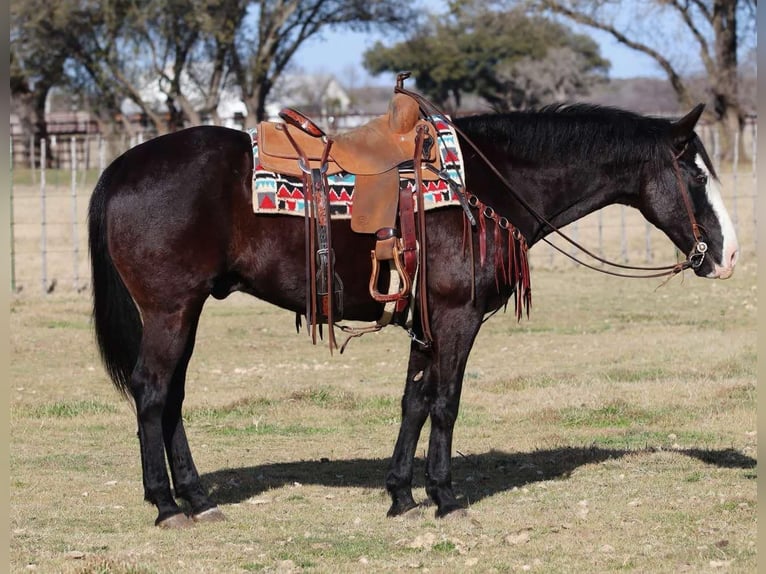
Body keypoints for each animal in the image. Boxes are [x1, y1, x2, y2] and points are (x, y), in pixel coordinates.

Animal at [88, 101, 738, 527]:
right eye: (694, 172)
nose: (728, 254)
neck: (486, 186)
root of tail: (121, 167)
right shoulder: (457, 317)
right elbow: (446, 402)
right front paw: (444, 496)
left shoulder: (426, 324)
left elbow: (414, 400)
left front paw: (401, 494)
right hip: (170, 310)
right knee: (153, 392)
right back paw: (166, 505)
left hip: (185, 312)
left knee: (171, 396)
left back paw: (198, 498)